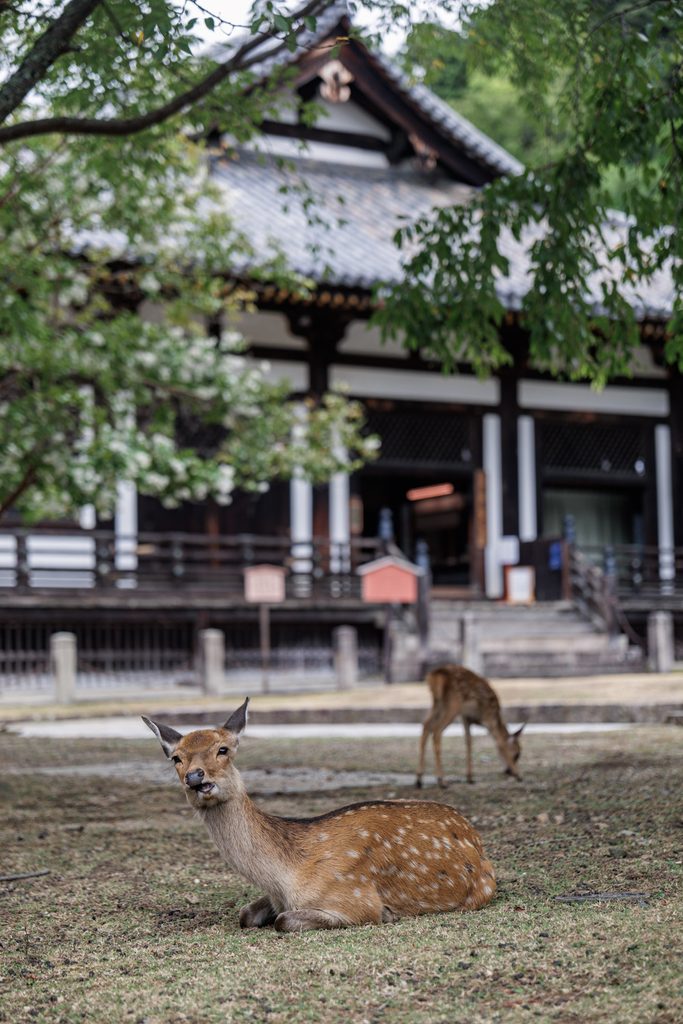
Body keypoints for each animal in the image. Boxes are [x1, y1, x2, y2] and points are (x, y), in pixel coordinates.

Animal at [143, 698, 496, 932]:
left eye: (223, 749)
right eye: (176, 757)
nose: (195, 777)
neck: (286, 876)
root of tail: (476, 838)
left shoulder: (355, 898)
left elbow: (284, 921)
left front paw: (389, 914)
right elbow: (245, 914)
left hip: (481, 890)